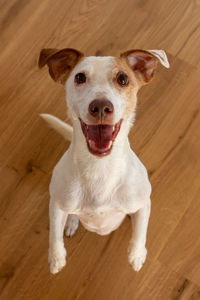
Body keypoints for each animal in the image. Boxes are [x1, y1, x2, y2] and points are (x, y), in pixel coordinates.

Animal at [38, 47, 169, 274]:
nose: (100, 107)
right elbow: (54, 233)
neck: (99, 167)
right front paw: (55, 259)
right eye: (79, 77)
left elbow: (140, 231)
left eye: (123, 78)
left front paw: (136, 255)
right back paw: (71, 221)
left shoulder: (143, 203)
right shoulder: (56, 203)